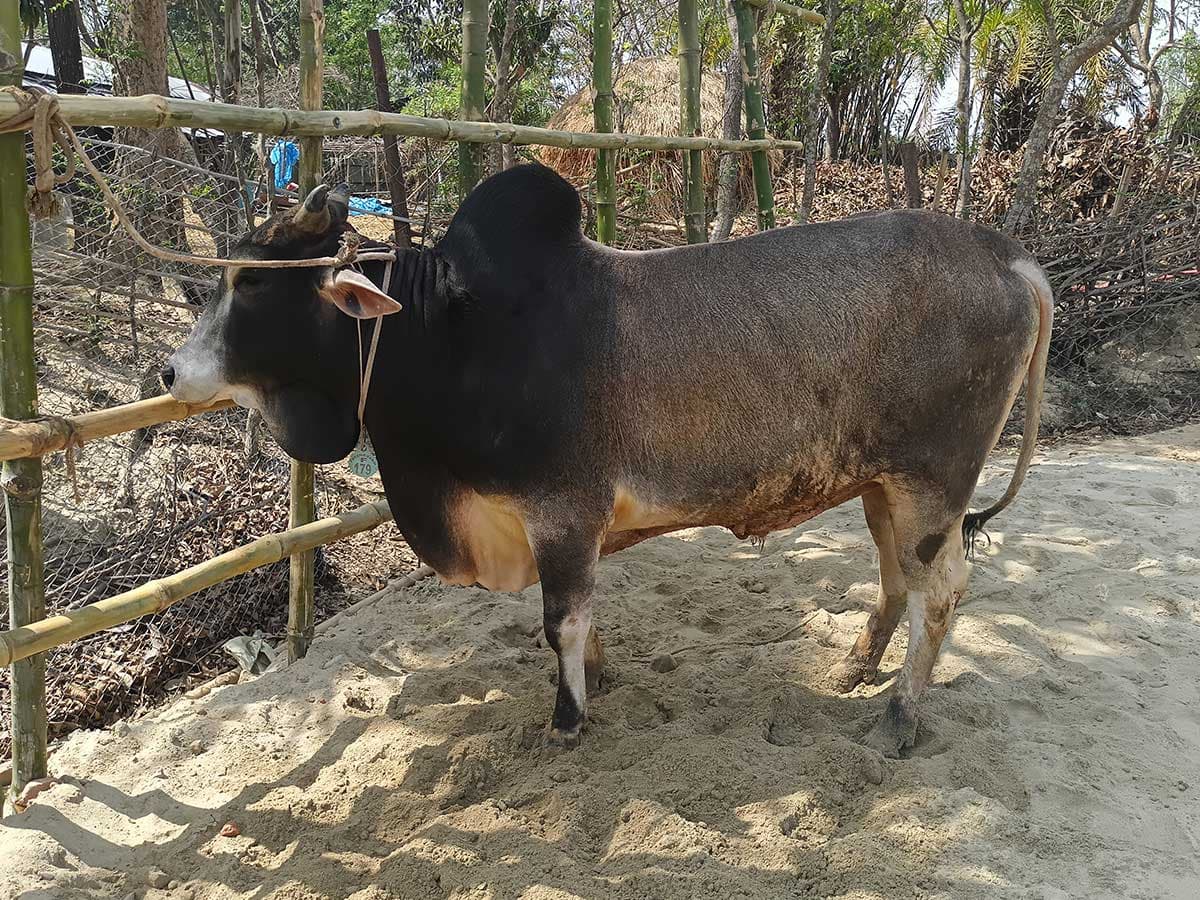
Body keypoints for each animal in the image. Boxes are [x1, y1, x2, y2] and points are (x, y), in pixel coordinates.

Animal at [163, 163, 1052, 757]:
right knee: (897, 576)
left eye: (250, 281)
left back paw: (898, 717)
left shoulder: (562, 512)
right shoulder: (560, 529)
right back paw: (854, 670)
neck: (450, 331)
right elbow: (581, 618)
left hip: (934, 482)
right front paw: (600, 680)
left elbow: (559, 620)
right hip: (881, 484)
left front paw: (567, 719)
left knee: (941, 591)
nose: (170, 373)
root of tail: (1010, 256)